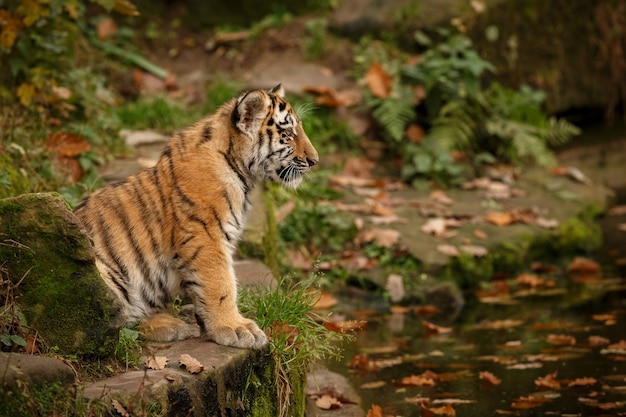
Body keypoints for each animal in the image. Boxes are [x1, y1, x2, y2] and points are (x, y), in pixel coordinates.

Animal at [73, 84, 316, 348]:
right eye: (289, 133)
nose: (314, 160)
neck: (238, 166)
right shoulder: (205, 236)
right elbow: (221, 283)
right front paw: (235, 328)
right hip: (98, 269)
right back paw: (172, 326)